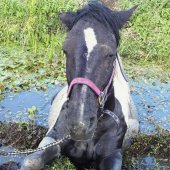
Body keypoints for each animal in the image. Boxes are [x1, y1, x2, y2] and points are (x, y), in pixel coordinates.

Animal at [20, 1, 139, 170]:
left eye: (111, 54)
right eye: (65, 50)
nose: (79, 126)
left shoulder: (112, 154)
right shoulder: (53, 139)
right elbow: (31, 161)